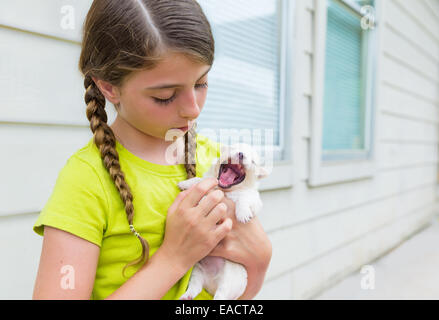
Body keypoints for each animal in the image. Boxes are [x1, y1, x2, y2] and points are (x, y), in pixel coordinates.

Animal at [177, 142, 270, 300]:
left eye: (253, 162)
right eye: (234, 148)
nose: (241, 154)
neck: (224, 190)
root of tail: (212, 284)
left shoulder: (253, 199)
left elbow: (244, 198)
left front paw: (242, 213)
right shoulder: (208, 180)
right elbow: (200, 180)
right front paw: (186, 183)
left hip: (228, 281)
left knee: (221, 294)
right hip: (197, 271)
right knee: (195, 286)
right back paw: (187, 295)